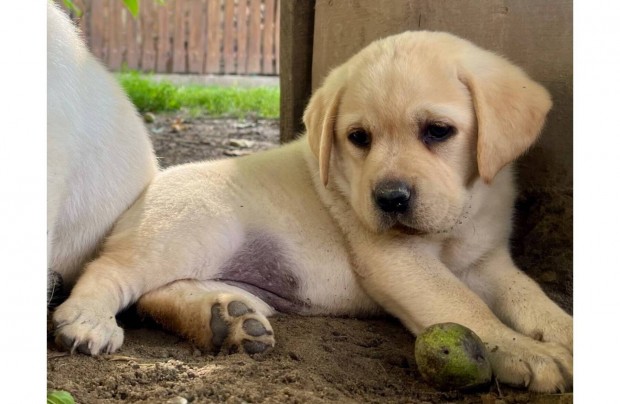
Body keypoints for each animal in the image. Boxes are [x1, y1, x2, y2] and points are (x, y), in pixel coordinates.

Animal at [53, 30, 572, 392]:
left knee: (156, 296)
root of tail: (139, 196)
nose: (390, 199)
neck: (461, 214)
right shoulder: (397, 259)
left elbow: (530, 295)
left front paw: (562, 331)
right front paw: (526, 352)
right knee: (113, 273)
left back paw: (226, 319)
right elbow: (460, 302)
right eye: (358, 138)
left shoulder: (487, 262)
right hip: (192, 228)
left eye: (438, 131)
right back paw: (88, 321)